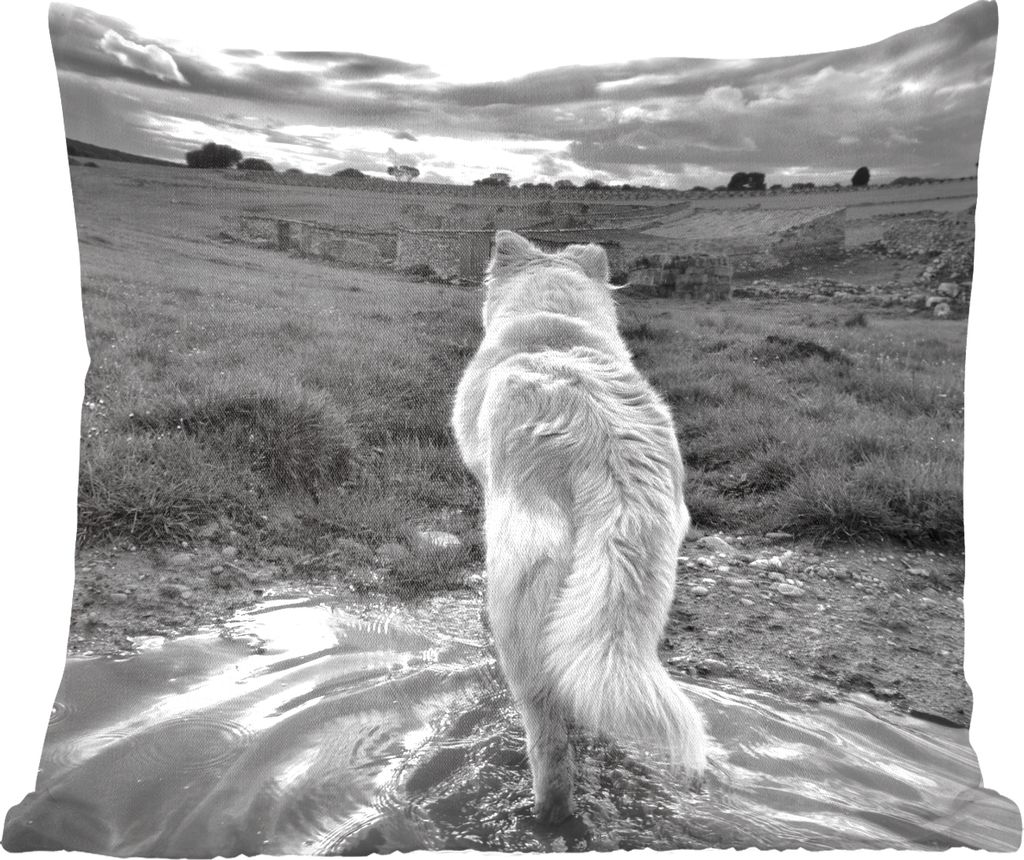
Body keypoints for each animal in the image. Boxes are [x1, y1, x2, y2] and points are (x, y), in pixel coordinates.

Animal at [452, 230, 707, 823]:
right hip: (621, 612)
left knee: (549, 740)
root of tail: (606, 447)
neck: (556, 324)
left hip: (522, 604)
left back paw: (548, 816)